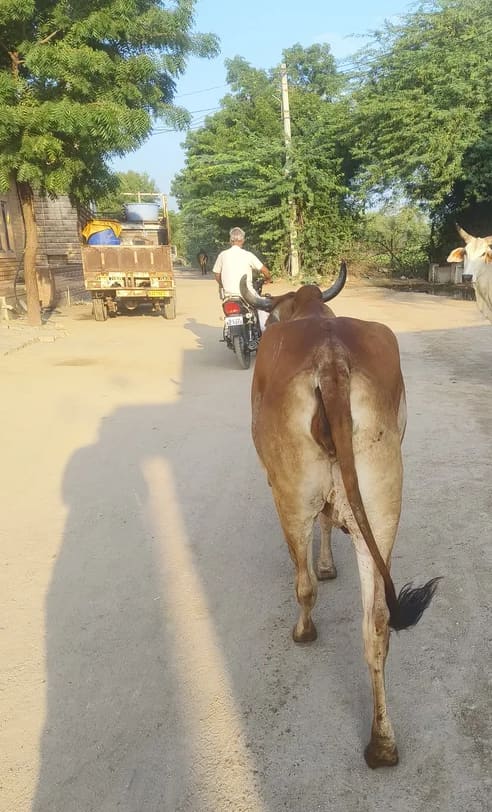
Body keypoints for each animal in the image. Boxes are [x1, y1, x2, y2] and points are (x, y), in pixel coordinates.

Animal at [240, 265, 440, 768]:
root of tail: (332, 362)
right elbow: (331, 523)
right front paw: (331, 564)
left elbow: (316, 548)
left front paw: (323, 568)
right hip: (382, 508)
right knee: (378, 625)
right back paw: (382, 743)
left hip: (290, 497)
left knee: (304, 583)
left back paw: (304, 631)